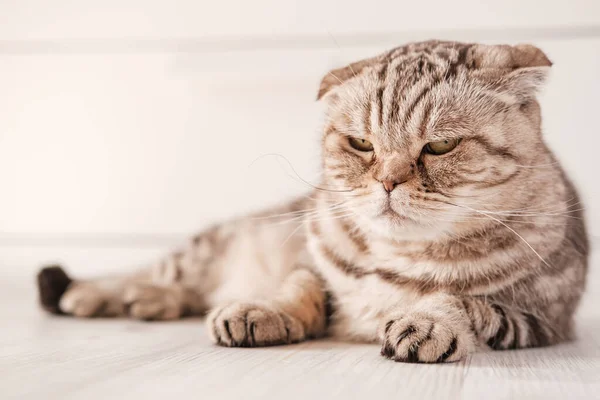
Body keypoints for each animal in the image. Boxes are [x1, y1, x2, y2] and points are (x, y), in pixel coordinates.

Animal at [36, 39, 584, 362]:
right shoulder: (307, 257)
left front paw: (427, 321)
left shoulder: (536, 320)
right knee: (155, 274)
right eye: (361, 143)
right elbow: (297, 289)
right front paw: (259, 311)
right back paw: (98, 292)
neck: (398, 257)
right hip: (207, 247)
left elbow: (462, 301)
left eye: (441, 145)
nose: (388, 182)